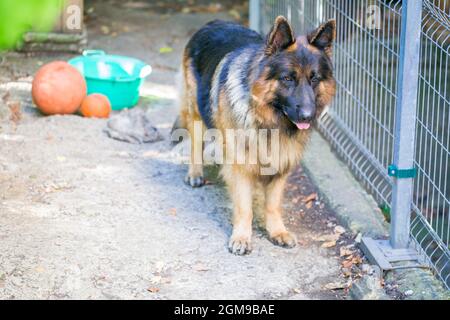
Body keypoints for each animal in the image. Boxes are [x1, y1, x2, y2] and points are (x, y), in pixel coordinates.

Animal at [174, 15, 336, 255]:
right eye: (287, 78)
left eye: (314, 79)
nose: (308, 116)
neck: (267, 120)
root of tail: (213, 21)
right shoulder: (241, 167)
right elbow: (244, 207)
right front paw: (242, 237)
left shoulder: (281, 164)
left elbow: (273, 205)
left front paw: (277, 231)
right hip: (196, 113)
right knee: (195, 145)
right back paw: (195, 173)